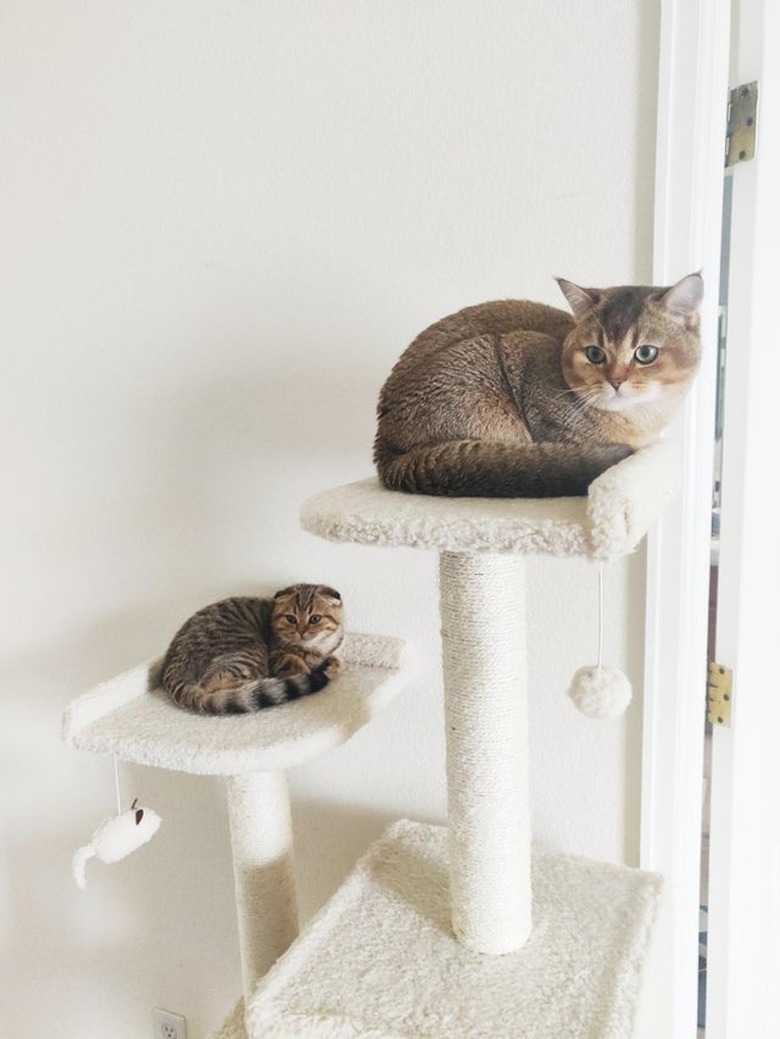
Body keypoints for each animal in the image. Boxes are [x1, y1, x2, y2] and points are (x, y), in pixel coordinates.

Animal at [159, 585, 342, 714]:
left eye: (315, 619)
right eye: (291, 619)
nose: (301, 632)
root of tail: (172, 671)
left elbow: (337, 662)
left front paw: (331, 664)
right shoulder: (276, 655)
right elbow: (298, 664)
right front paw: (309, 668)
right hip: (252, 650)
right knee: (215, 683)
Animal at [375, 272, 706, 498]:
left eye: (645, 353)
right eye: (595, 354)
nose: (615, 381)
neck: (637, 420)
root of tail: (383, 451)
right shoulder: (526, 349)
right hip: (485, 358)